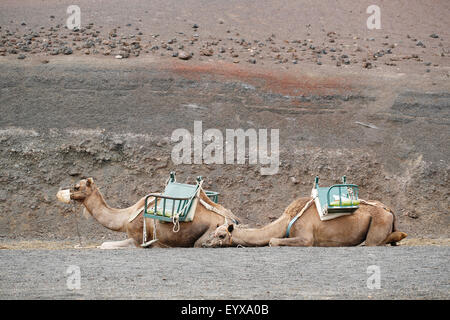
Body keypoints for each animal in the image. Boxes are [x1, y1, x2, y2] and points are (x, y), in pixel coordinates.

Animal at [56, 179, 241, 249]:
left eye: (77, 187)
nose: (61, 192)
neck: (125, 217)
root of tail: (233, 220)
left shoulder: (138, 240)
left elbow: (105, 245)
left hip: (211, 233)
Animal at [202, 195, 406, 248]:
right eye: (213, 232)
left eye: (221, 235)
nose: (204, 243)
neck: (285, 221)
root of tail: (388, 209)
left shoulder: (306, 237)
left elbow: (272, 240)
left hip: (378, 222)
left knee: (372, 242)